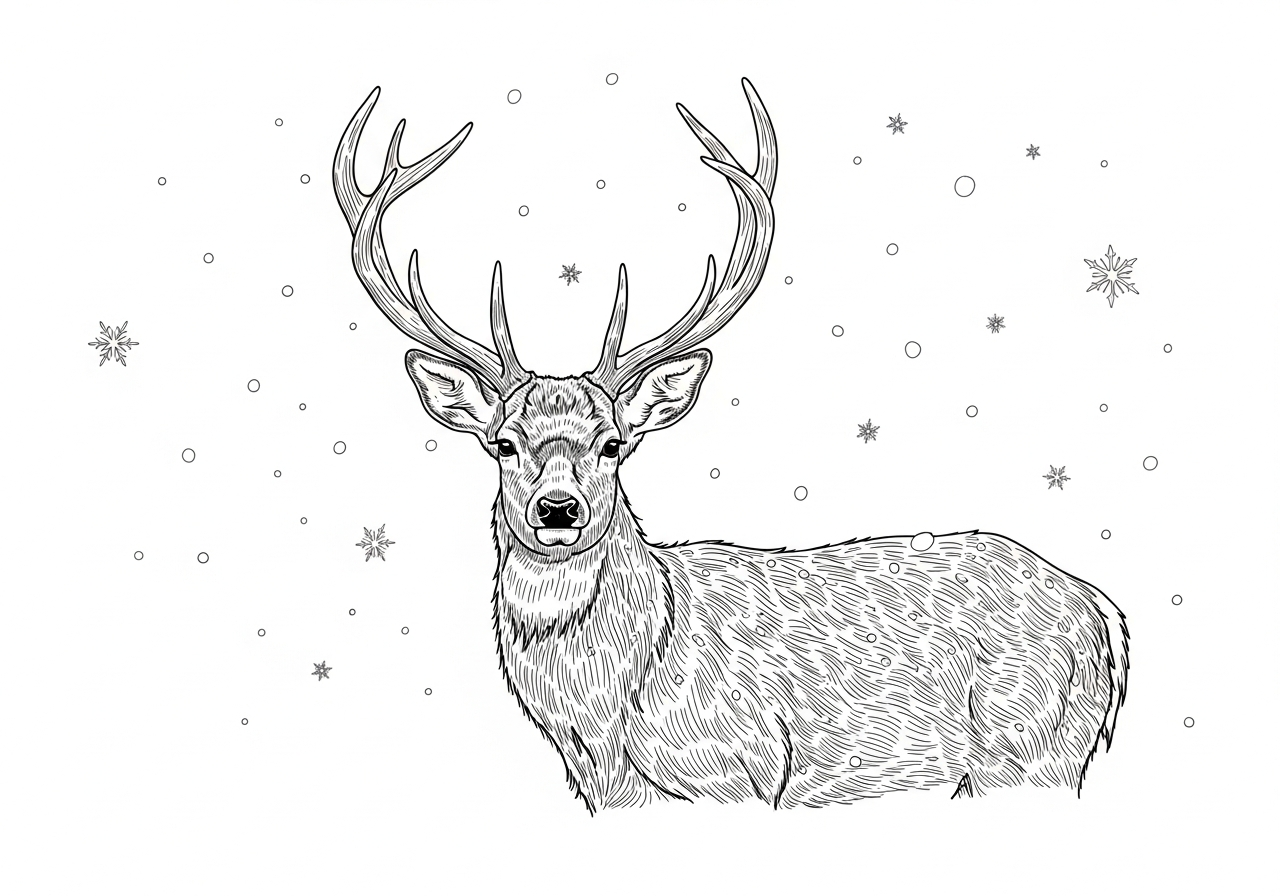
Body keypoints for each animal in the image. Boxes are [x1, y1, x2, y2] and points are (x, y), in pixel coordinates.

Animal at [333, 79, 1130, 813]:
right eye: (502, 443)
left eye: (614, 444)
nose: (557, 510)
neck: (608, 722)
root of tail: (1104, 617)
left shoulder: (743, 771)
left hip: (1028, 751)